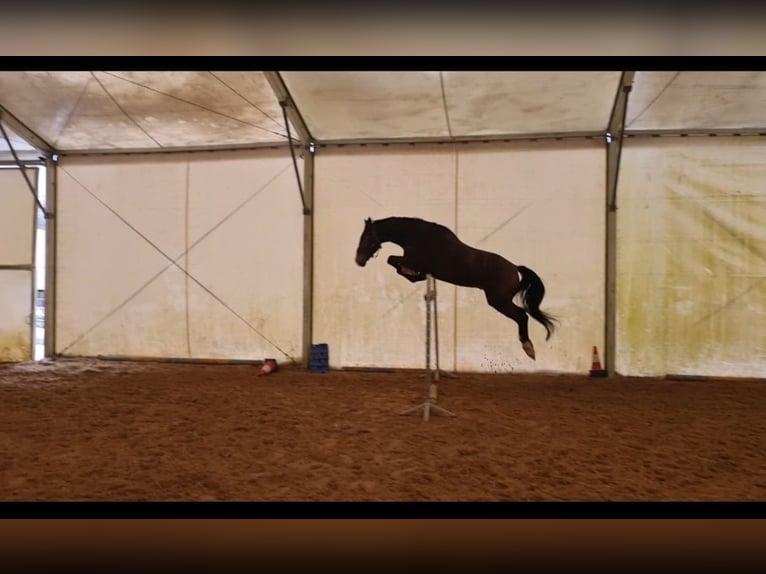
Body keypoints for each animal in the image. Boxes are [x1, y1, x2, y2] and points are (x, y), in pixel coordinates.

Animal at [354, 216, 557, 360]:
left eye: (367, 237)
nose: (358, 260)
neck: (417, 236)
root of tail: (515, 268)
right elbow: (399, 266)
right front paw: (415, 277)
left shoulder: (413, 260)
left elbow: (392, 260)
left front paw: (411, 274)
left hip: (499, 302)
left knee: (522, 316)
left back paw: (528, 348)